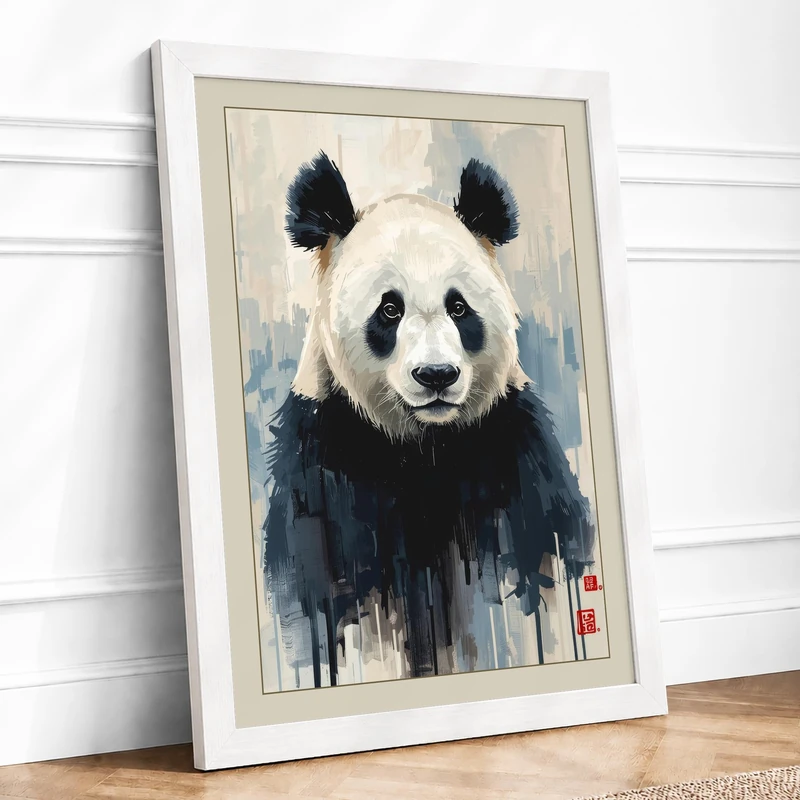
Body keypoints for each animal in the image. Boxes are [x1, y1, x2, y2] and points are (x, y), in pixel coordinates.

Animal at [263, 151, 595, 688]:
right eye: (389, 309)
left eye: (458, 307)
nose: (436, 375)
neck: (425, 446)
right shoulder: (324, 461)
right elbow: (327, 592)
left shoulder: (512, 450)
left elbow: (536, 557)